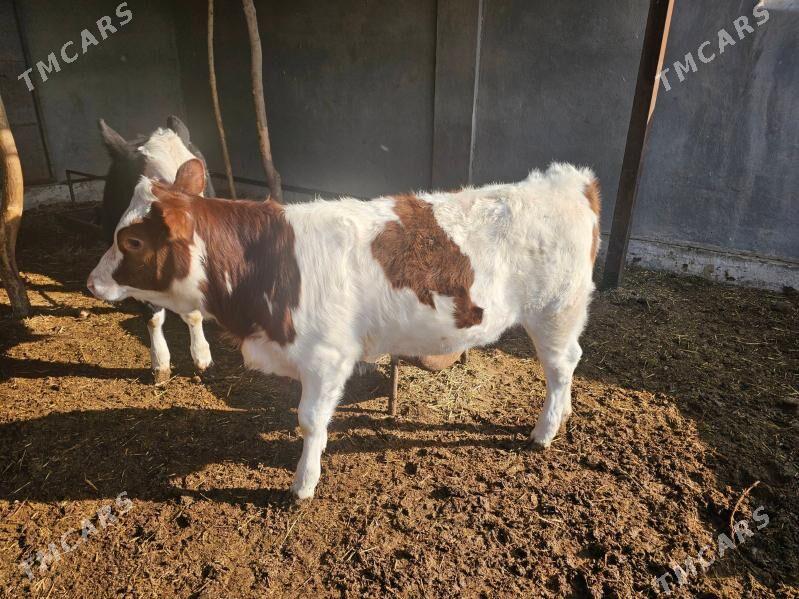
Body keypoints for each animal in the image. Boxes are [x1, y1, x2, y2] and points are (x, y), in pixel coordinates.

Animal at [87, 158, 601, 500]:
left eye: (132, 241)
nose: (91, 283)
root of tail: (569, 181)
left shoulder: (327, 357)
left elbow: (310, 420)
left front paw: (303, 483)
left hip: (556, 310)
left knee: (561, 367)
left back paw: (545, 431)